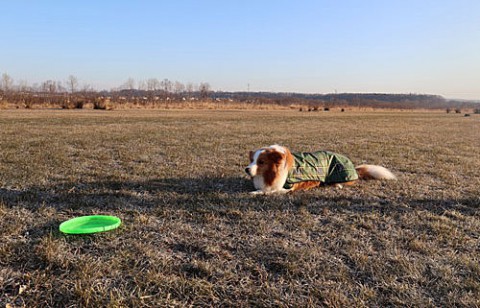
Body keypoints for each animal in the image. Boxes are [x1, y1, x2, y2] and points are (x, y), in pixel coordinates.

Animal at [246, 145, 396, 194]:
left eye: (261, 162)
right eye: (252, 160)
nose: (246, 169)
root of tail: (354, 168)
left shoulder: (287, 188)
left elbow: (268, 191)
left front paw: (255, 192)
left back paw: (337, 185)